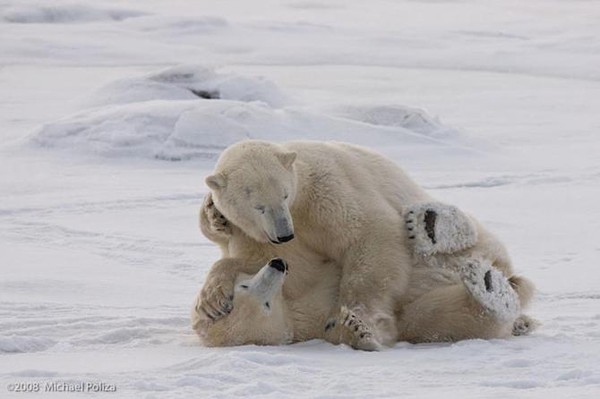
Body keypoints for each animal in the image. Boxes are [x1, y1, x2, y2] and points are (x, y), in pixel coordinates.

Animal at [195, 141, 536, 350]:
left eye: (284, 194)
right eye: (258, 206)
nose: (284, 233)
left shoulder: (325, 189)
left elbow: (370, 232)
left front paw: (358, 320)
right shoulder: (270, 236)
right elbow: (280, 262)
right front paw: (212, 299)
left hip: (462, 234)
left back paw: (433, 225)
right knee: (437, 316)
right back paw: (492, 289)